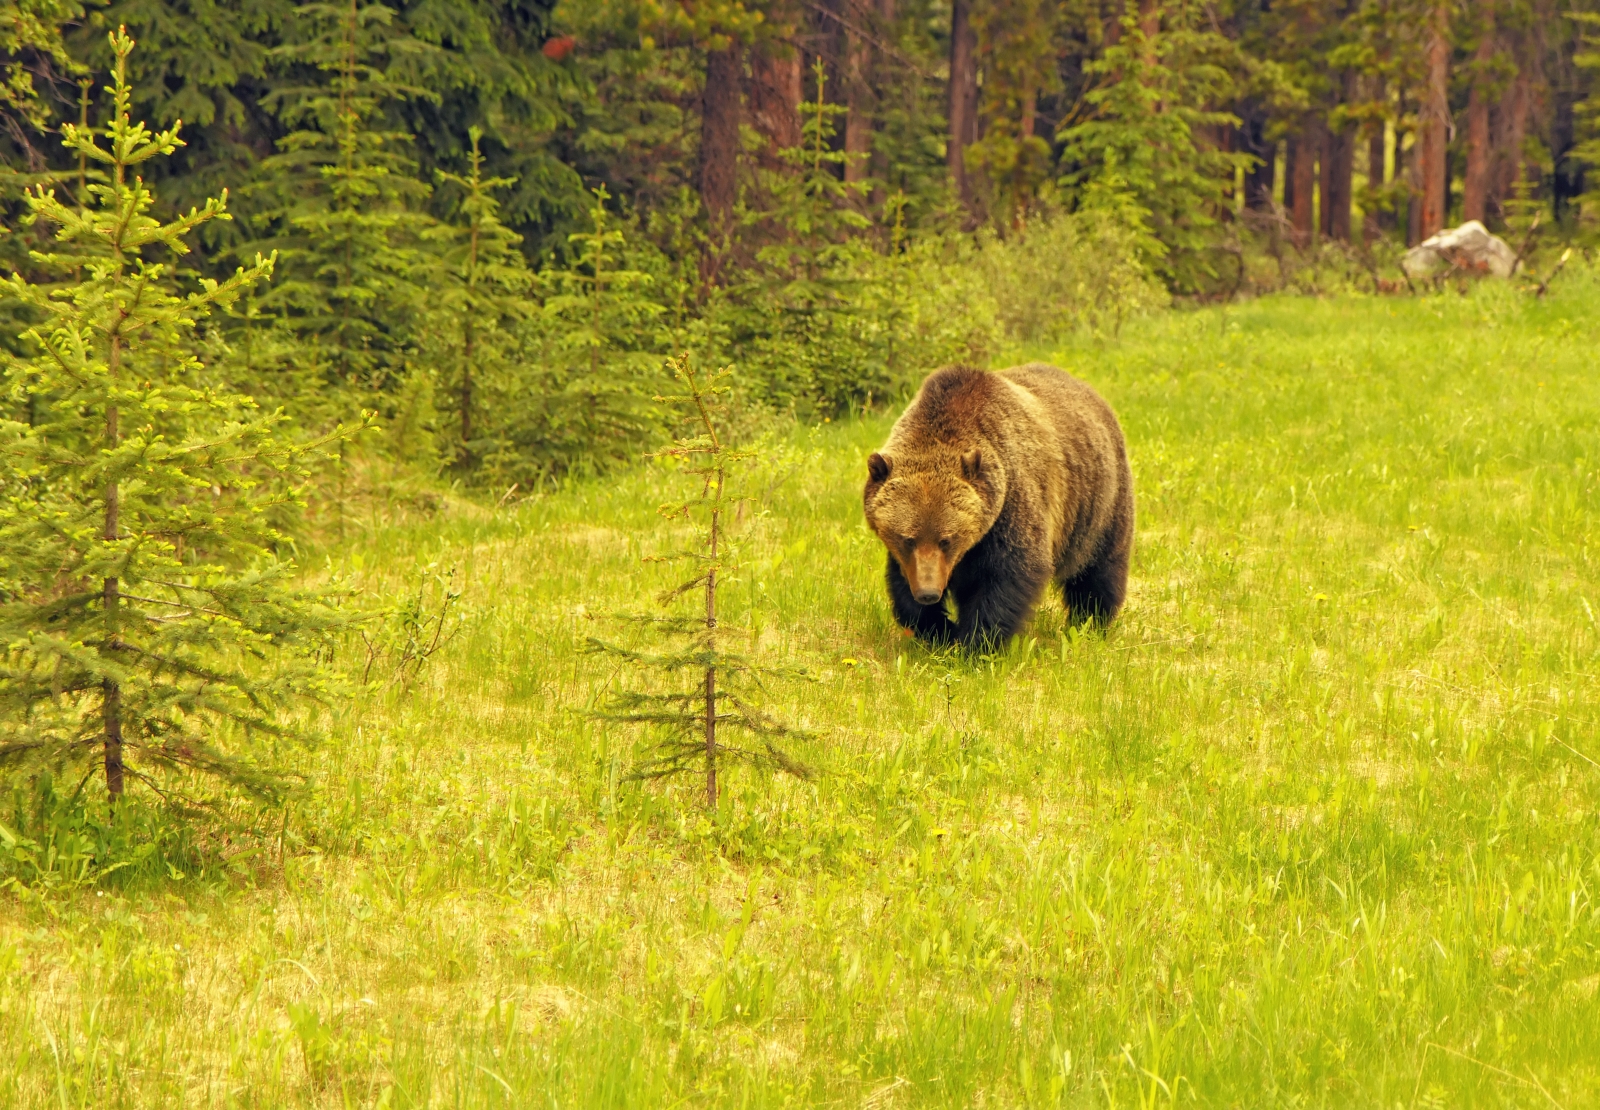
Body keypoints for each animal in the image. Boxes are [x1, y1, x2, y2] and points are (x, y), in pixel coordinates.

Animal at [862, 363, 1134, 649]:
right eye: (908, 539)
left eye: (946, 539)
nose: (928, 593)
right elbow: (903, 586)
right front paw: (940, 629)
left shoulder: (1011, 506)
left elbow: (1006, 578)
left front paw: (975, 642)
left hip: (1097, 506)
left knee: (1098, 573)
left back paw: (1090, 624)